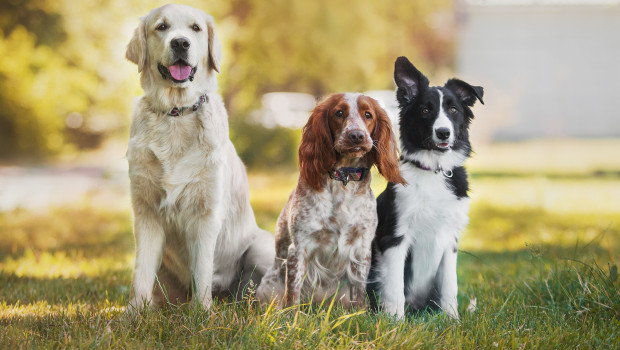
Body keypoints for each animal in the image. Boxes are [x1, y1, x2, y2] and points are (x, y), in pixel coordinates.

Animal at [126, 4, 274, 312]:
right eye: (161, 27)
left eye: (195, 28)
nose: (180, 43)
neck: (176, 114)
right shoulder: (145, 212)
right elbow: (141, 272)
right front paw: (133, 314)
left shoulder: (205, 212)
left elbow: (202, 268)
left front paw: (202, 313)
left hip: (262, 246)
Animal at [256, 92, 404, 306]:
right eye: (339, 113)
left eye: (368, 114)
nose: (356, 135)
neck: (343, 179)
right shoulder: (299, 248)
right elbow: (293, 295)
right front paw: (291, 315)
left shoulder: (361, 249)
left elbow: (359, 295)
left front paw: (360, 313)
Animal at [368, 56, 484, 318]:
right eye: (425, 110)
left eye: (453, 110)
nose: (443, 133)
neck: (433, 171)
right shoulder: (395, 238)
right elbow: (395, 288)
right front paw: (395, 322)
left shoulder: (450, 239)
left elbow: (450, 286)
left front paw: (452, 320)